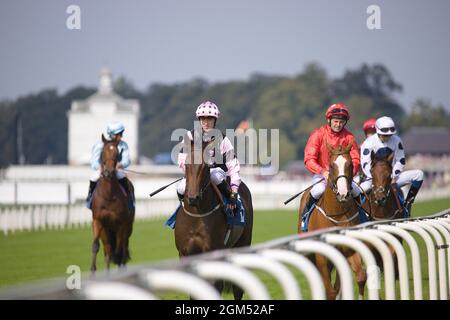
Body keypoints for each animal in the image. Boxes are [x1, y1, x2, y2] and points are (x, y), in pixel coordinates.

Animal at [90, 134, 134, 274]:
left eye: (117, 153)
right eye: (103, 152)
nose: (108, 172)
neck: (108, 196)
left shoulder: (120, 224)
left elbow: (119, 250)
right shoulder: (98, 221)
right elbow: (96, 245)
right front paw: (93, 271)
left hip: (127, 227)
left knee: (123, 247)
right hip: (107, 230)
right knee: (108, 249)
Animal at [175, 131, 253, 300]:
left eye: (206, 166)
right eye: (187, 165)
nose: (193, 198)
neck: (196, 216)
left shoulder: (213, 251)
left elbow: (217, 286)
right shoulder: (185, 253)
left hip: (243, 243)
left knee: (237, 288)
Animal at [298, 142, 368, 300]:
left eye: (350, 164)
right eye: (331, 165)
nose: (343, 194)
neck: (337, 215)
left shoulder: (348, 250)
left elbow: (361, 277)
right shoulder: (321, 257)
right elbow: (329, 291)